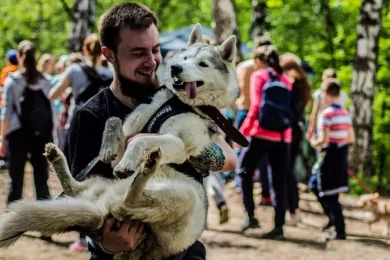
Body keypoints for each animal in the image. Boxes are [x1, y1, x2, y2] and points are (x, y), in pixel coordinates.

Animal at [0, 24, 241, 260]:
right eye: (184, 57)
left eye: (202, 64)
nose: (175, 68)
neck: (176, 102)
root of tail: (101, 210)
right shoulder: (129, 131)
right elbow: (114, 121)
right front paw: (107, 147)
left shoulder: (179, 144)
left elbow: (140, 140)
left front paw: (129, 162)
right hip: (98, 184)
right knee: (75, 189)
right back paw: (59, 157)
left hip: (183, 197)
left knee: (126, 203)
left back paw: (148, 166)